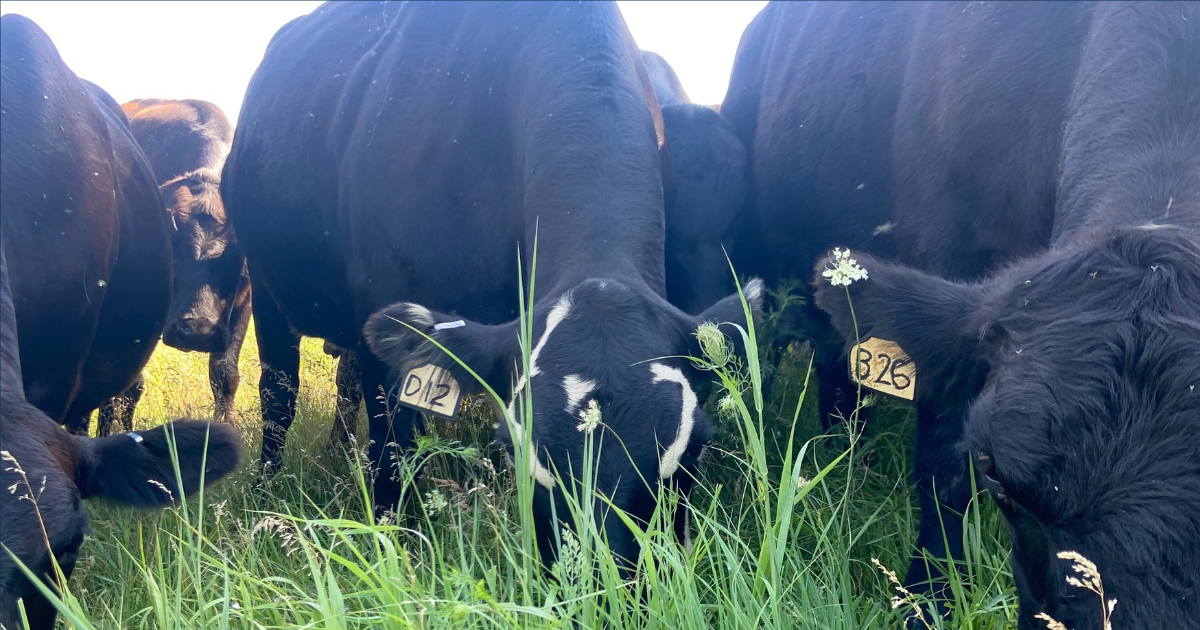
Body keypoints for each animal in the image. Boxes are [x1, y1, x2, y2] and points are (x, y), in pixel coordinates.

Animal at [223, 1, 759, 566]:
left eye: (693, 448)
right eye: (514, 450)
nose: (608, 577)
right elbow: (391, 451)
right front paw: (395, 547)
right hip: (266, 288)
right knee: (278, 396)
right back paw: (264, 493)